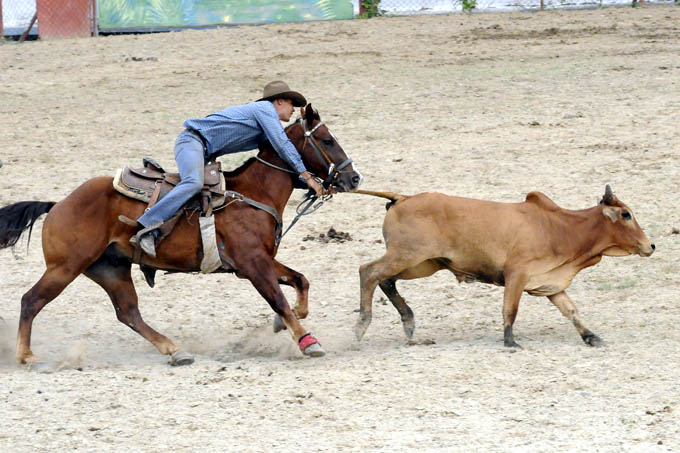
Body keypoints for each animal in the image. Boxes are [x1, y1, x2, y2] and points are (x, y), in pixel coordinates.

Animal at [0, 106, 364, 368]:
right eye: (327, 140)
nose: (354, 178)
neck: (252, 193)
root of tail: (57, 204)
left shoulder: (259, 261)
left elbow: (300, 281)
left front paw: (286, 322)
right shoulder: (254, 264)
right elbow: (279, 299)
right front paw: (307, 341)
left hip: (110, 269)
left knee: (128, 313)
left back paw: (176, 350)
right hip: (65, 267)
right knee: (31, 300)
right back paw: (26, 355)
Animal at [356, 185, 652, 348]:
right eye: (626, 214)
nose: (651, 246)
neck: (560, 228)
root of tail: (403, 198)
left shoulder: (551, 283)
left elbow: (571, 311)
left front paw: (591, 337)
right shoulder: (516, 275)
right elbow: (510, 309)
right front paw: (510, 341)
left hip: (422, 263)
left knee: (386, 280)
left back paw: (408, 323)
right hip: (406, 255)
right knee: (368, 272)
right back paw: (362, 324)